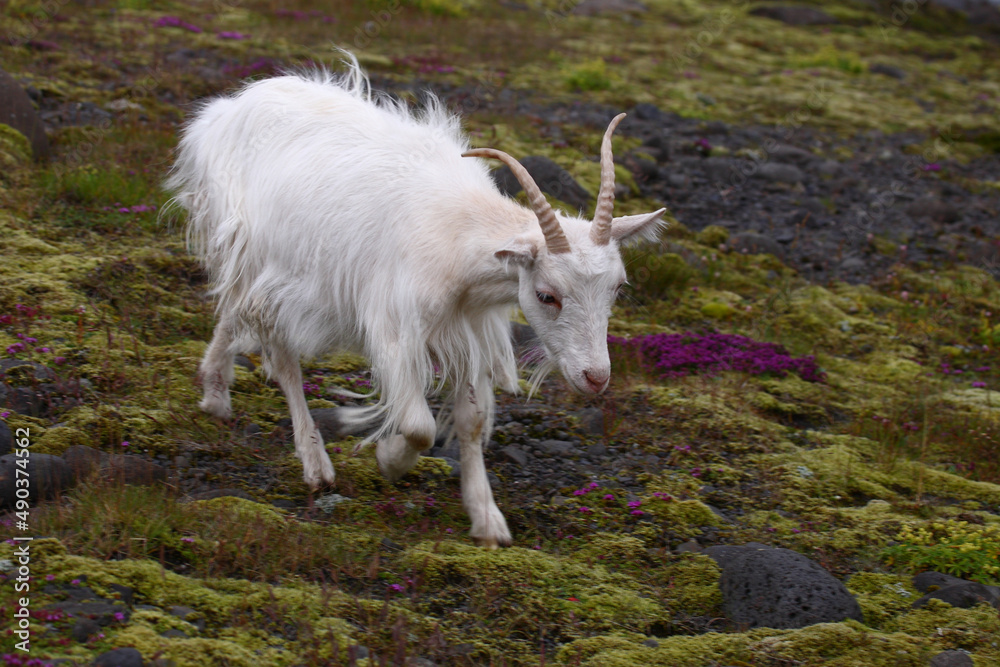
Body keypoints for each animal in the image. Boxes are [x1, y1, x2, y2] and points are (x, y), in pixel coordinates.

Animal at [165, 57, 665, 548]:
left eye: (618, 288)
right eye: (547, 295)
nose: (596, 378)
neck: (457, 228)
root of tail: (227, 109)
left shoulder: (469, 327)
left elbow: (472, 420)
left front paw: (486, 518)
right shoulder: (394, 329)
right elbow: (419, 426)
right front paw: (389, 459)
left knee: (234, 315)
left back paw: (214, 391)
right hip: (256, 257)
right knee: (279, 352)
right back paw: (315, 463)